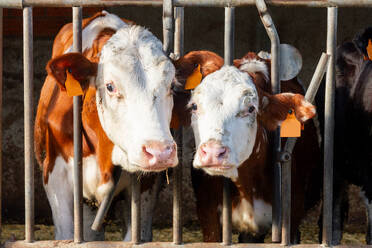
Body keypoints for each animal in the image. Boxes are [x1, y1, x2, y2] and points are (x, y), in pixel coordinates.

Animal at [174, 49, 322, 243]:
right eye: (194, 106)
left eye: (251, 109)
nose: (213, 152)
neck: (246, 186)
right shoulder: (208, 215)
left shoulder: (292, 213)